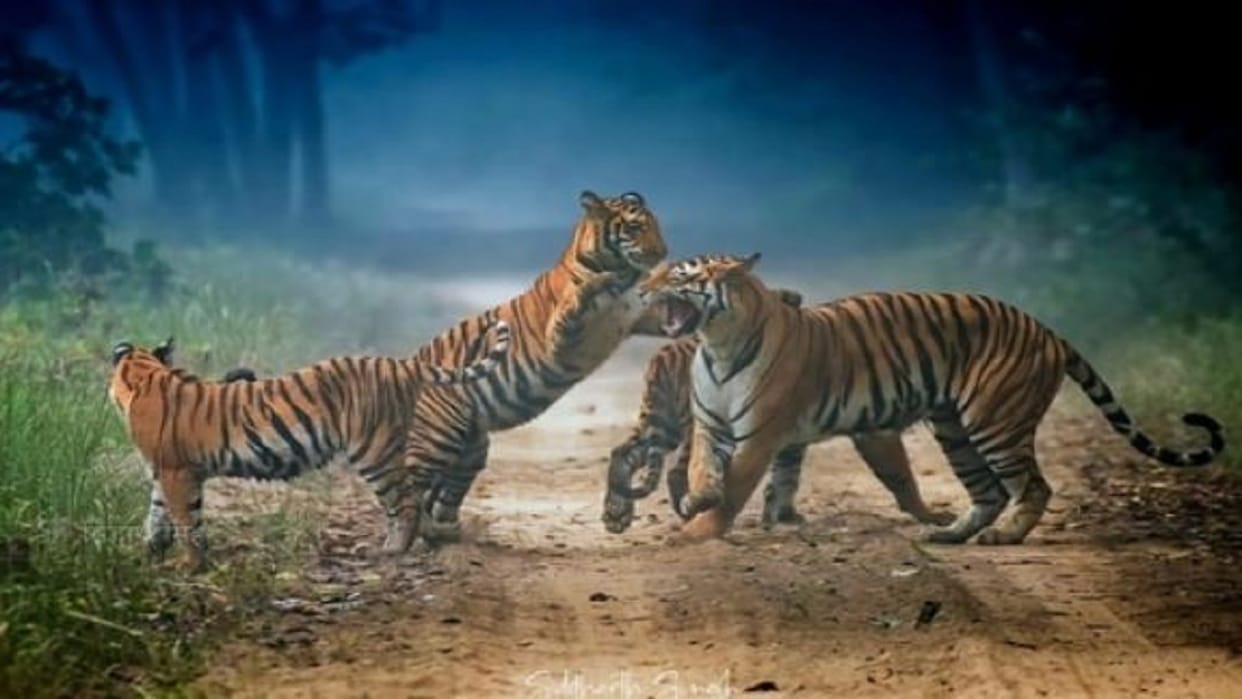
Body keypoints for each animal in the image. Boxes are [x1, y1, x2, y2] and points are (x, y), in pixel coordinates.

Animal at [108, 321, 510, 570]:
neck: (144, 375)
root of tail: (402, 364)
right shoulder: (162, 472)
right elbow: (157, 514)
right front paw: (150, 553)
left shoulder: (178, 472)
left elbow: (187, 521)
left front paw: (191, 565)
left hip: (374, 451)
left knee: (406, 503)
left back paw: (391, 551)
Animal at [391, 190, 669, 547]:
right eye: (635, 228)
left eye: (655, 225)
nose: (663, 253)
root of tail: (408, 368)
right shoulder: (560, 336)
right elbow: (581, 294)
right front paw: (604, 280)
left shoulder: (646, 315)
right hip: (437, 436)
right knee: (408, 487)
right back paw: (405, 543)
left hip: (470, 449)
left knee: (442, 496)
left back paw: (444, 533)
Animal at [600, 289, 955, 534]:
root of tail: (664, 354)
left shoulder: (785, 434)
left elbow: (785, 473)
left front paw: (781, 516)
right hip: (686, 427)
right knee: (675, 470)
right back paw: (684, 512)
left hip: (662, 423)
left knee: (623, 452)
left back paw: (616, 515)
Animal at [638, 252, 1226, 544]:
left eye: (679, 274)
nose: (641, 288)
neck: (717, 343)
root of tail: (1047, 330)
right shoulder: (713, 427)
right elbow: (704, 469)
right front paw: (698, 500)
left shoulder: (766, 437)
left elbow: (740, 486)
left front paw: (698, 531)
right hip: (956, 430)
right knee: (988, 491)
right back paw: (951, 532)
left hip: (994, 422)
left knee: (1033, 487)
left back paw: (1004, 536)